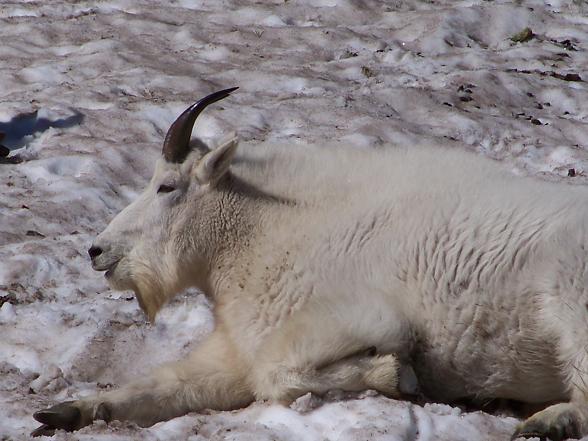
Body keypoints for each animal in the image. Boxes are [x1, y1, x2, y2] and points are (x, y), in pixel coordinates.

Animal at [33, 87, 588, 438]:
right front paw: (68, 410)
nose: (97, 251)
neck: (260, 231)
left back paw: (546, 423)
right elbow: (166, 386)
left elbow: (278, 375)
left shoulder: (363, 319)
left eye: (166, 187)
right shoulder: (236, 351)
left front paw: (395, 375)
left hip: (570, 300)